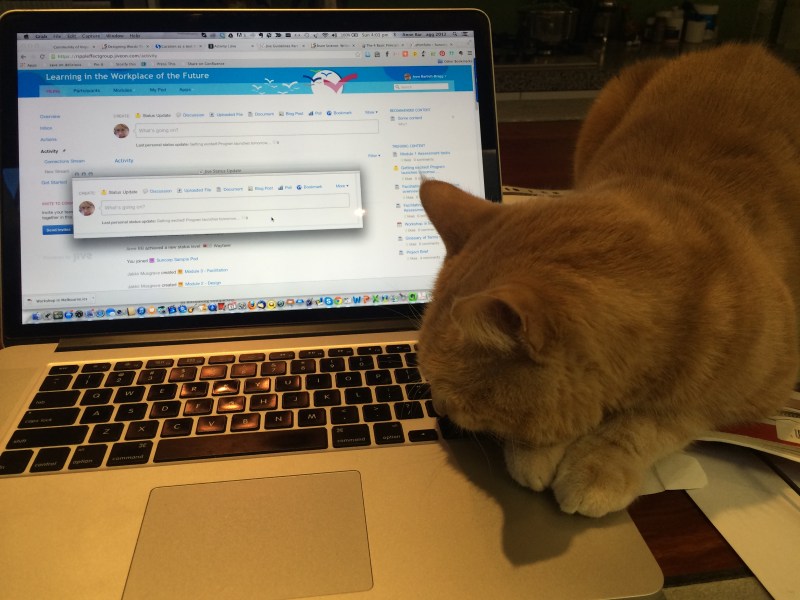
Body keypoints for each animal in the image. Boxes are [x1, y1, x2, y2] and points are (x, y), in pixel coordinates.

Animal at [417, 43, 800, 518]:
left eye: (448, 391)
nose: (434, 408)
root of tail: (751, 49)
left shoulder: (763, 385)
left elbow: (657, 421)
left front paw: (597, 465)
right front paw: (536, 453)